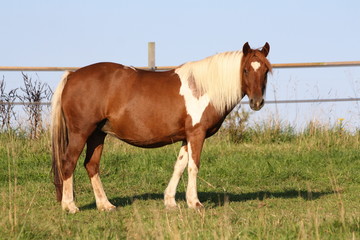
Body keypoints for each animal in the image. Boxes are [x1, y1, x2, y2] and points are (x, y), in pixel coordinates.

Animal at [50, 42, 270, 213]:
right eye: (245, 70)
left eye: (266, 71)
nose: (257, 102)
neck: (203, 88)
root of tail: (72, 75)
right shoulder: (196, 134)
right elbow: (193, 166)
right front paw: (195, 202)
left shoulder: (186, 136)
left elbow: (179, 166)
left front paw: (170, 201)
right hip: (81, 132)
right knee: (68, 163)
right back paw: (70, 206)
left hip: (97, 134)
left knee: (91, 165)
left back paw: (105, 205)